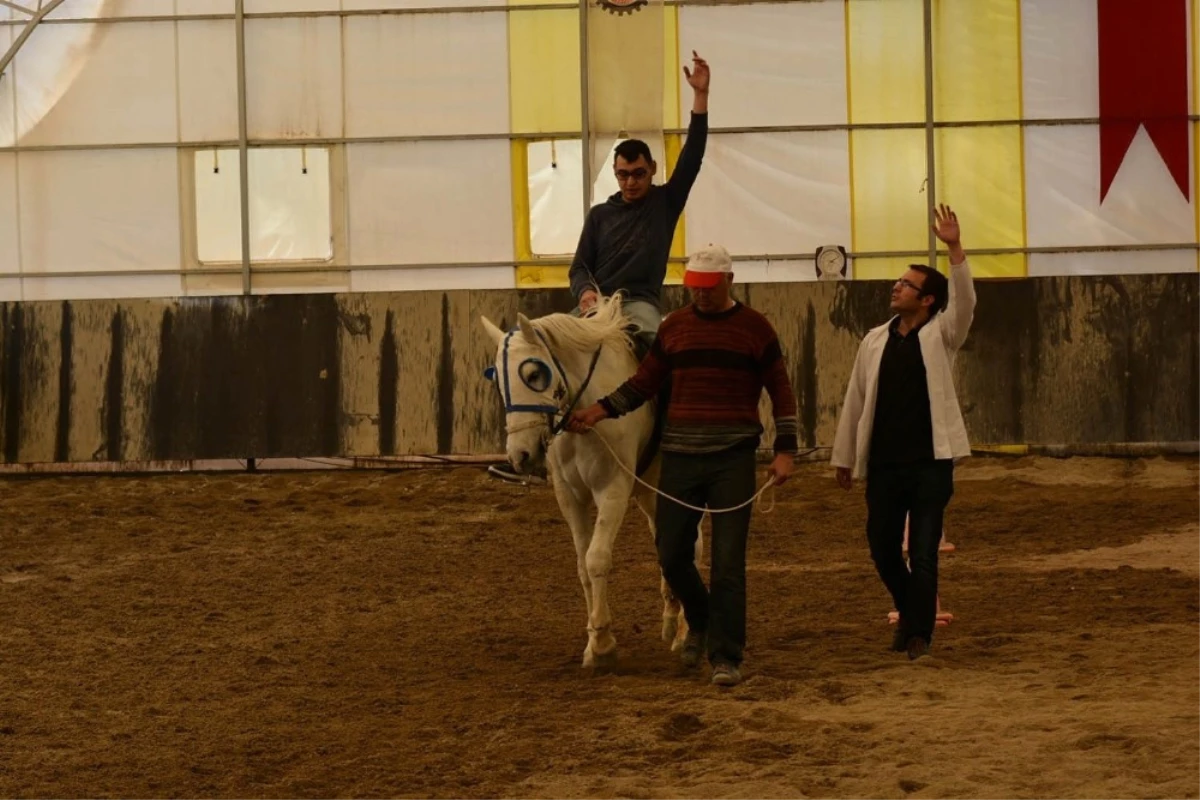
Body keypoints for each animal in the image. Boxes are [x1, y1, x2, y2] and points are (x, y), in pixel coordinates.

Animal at [477, 293, 696, 671]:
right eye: (499, 383)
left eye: (534, 373)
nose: (520, 455)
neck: (587, 408)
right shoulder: (569, 495)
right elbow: (582, 564)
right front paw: (594, 642)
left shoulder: (613, 489)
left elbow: (597, 558)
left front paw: (604, 645)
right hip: (650, 492)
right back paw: (671, 622)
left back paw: (685, 632)